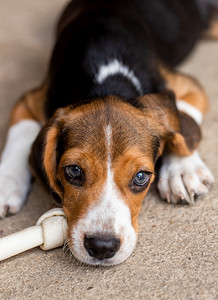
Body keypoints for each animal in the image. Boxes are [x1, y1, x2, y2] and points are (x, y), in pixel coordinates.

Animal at [0, 1, 217, 266]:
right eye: (73, 171)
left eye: (141, 177)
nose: (102, 247)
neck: (107, 79)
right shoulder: (30, 99)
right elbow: (20, 134)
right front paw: (6, 182)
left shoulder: (186, 85)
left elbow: (183, 123)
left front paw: (183, 170)